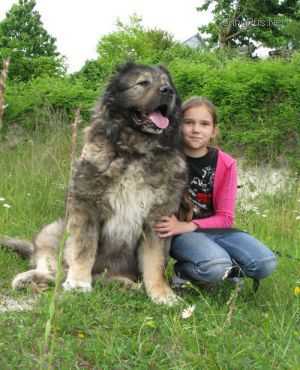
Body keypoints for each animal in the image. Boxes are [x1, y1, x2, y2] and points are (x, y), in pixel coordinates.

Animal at [0, 63, 188, 304]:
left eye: (167, 84)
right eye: (143, 83)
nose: (168, 91)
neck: (134, 152)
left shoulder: (158, 219)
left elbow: (155, 262)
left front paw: (163, 294)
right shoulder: (86, 207)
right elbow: (83, 249)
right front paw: (79, 283)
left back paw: (124, 284)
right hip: (52, 230)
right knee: (55, 271)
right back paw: (29, 279)